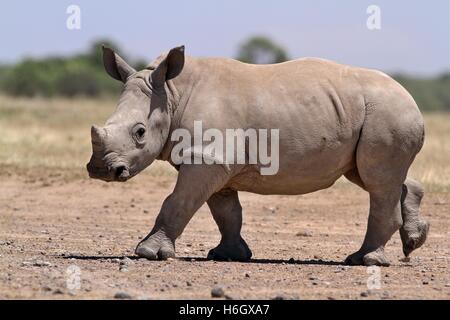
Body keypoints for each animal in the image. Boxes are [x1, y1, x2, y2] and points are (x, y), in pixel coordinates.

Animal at [87, 45, 428, 264]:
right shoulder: (212, 160)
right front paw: (228, 255)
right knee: (373, 177)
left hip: (388, 113)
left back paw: (364, 261)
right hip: (374, 115)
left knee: (377, 182)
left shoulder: (208, 157)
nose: (101, 170)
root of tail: (413, 99)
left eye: (140, 132)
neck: (172, 94)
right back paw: (413, 241)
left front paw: (147, 253)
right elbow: (225, 211)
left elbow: (178, 202)